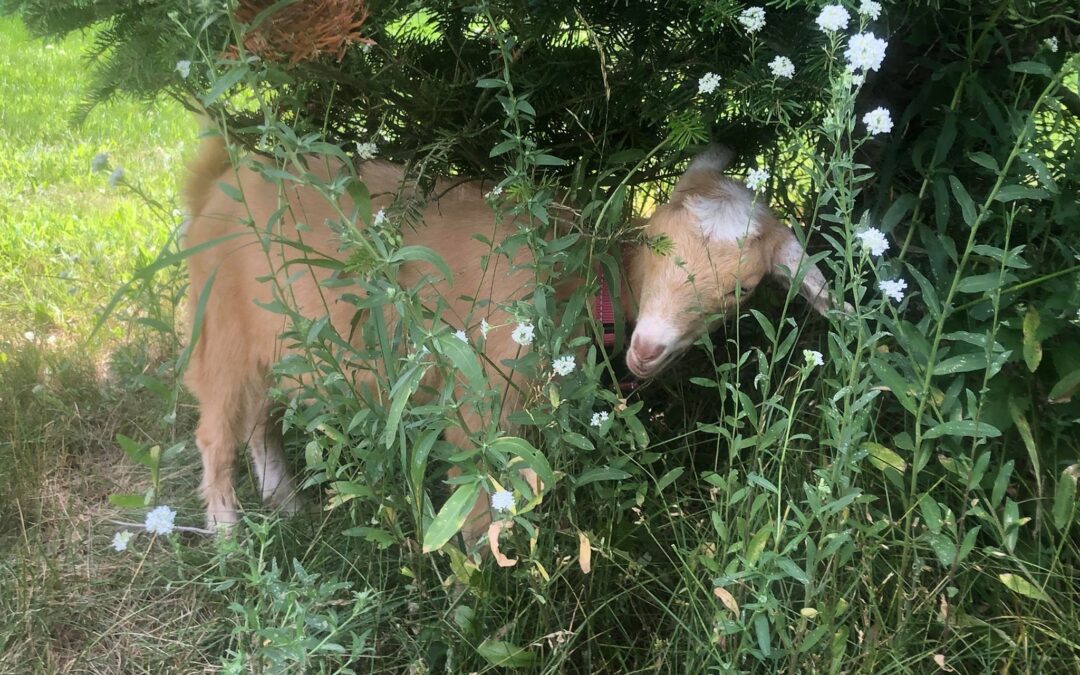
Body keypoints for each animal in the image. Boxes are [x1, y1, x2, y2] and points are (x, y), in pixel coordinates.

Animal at [181, 137, 838, 533]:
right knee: (216, 429)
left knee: (259, 420)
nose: (648, 349)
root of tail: (218, 178)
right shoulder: (482, 409)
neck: (578, 277)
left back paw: (287, 505)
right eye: (657, 240)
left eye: (744, 288)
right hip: (220, 327)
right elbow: (478, 512)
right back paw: (228, 535)